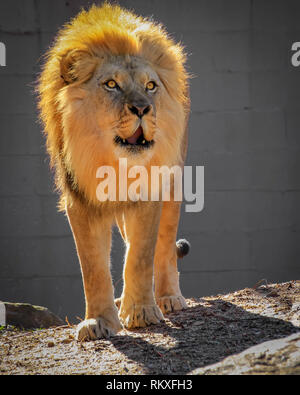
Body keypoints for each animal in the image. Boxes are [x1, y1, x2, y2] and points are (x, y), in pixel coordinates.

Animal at [37, 3, 191, 342]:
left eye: (150, 85)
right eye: (111, 84)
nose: (143, 108)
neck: (113, 163)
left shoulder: (150, 190)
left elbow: (141, 254)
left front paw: (142, 312)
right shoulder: (79, 200)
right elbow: (93, 267)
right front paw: (98, 321)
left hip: (173, 180)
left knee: (163, 246)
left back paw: (167, 298)